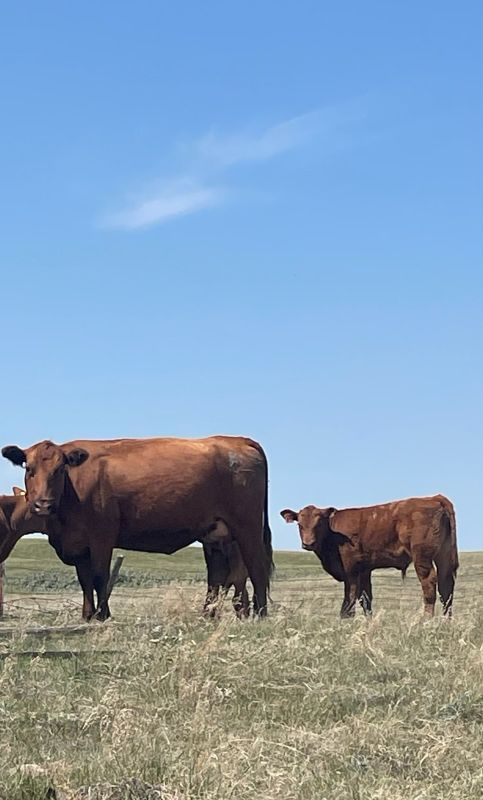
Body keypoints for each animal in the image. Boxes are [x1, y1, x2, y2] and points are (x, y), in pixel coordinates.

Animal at [2, 436, 273, 621]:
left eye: (59, 470)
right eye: (29, 469)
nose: (43, 504)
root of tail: (236, 440)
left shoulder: (102, 537)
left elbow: (99, 577)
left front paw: (103, 615)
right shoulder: (78, 544)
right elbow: (84, 580)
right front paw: (87, 616)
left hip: (247, 528)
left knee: (256, 568)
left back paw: (260, 614)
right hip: (215, 534)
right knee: (217, 575)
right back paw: (208, 615)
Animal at [281, 495, 458, 618]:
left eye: (318, 524)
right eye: (299, 524)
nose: (308, 543)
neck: (333, 533)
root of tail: (434, 498)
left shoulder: (350, 570)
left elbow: (349, 599)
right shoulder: (364, 570)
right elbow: (365, 599)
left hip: (422, 557)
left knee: (430, 584)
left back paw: (426, 620)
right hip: (443, 556)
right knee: (446, 586)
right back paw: (445, 621)